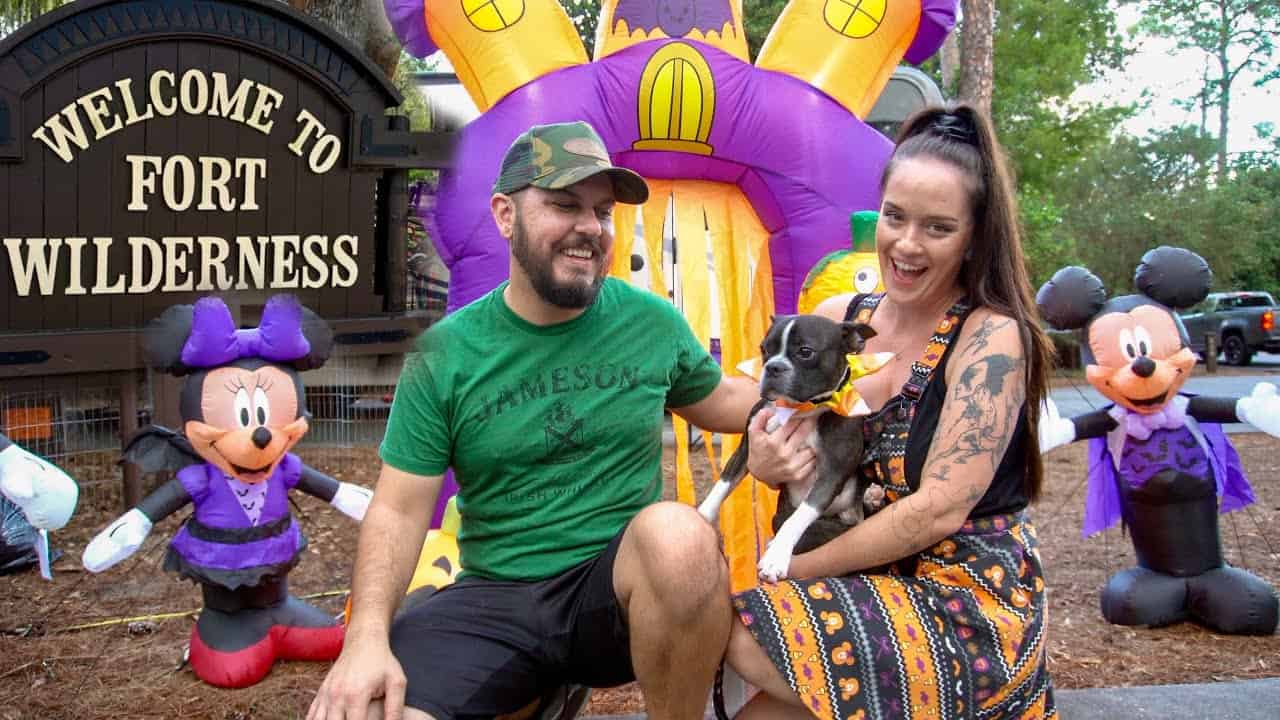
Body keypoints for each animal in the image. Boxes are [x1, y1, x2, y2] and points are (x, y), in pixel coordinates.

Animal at [696, 315, 885, 584]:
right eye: (764, 349)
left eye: (805, 352)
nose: (773, 367)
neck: (799, 410)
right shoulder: (747, 449)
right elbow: (723, 483)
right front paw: (701, 516)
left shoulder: (831, 473)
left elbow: (800, 516)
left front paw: (776, 557)